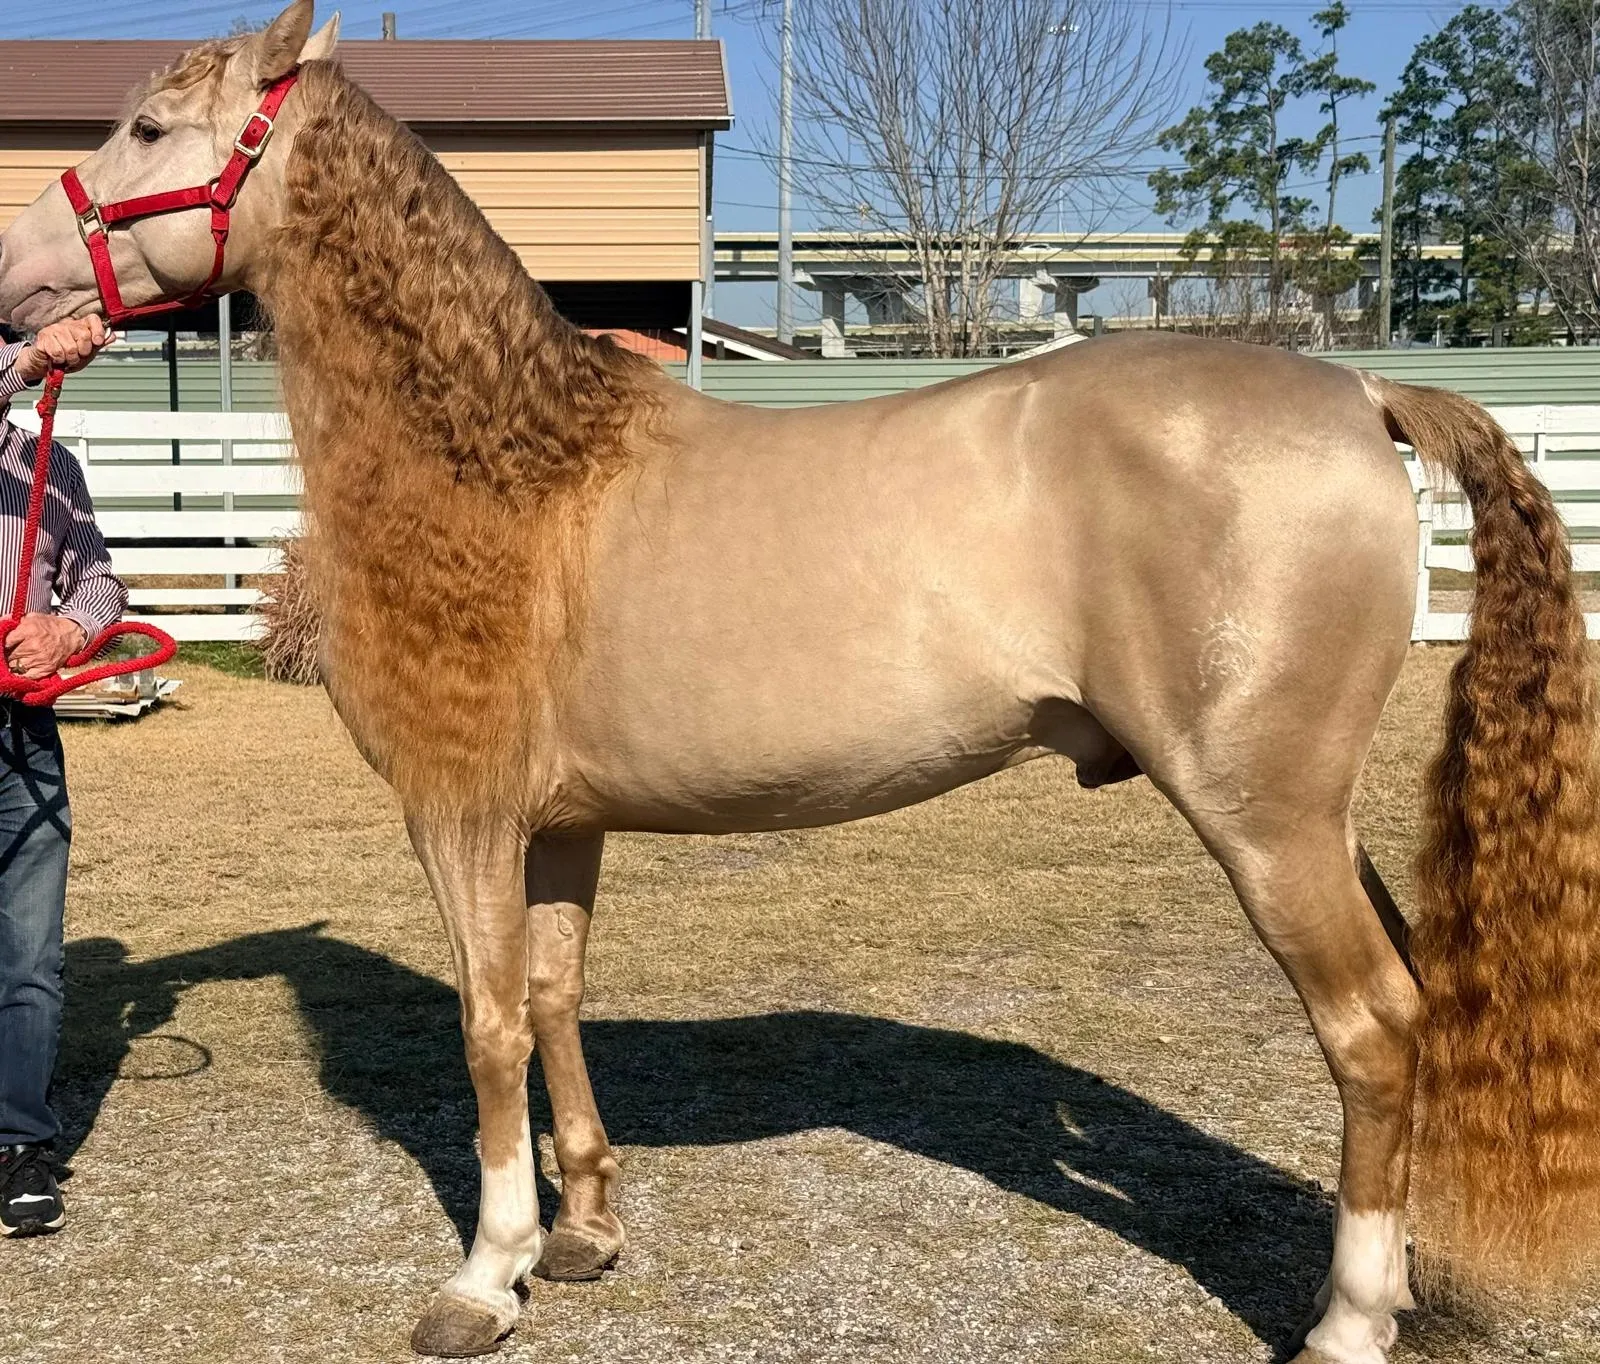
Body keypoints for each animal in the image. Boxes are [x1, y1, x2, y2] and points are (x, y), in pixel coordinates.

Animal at [3, 5, 1598, 1360]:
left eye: (148, 127)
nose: (16, 285)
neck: (507, 460)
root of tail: (1361, 391)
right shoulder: (561, 822)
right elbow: (557, 996)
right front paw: (583, 1233)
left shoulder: (459, 811)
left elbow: (487, 1022)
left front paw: (484, 1275)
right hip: (1311, 818)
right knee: (1411, 1006)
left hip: (1261, 819)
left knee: (1371, 1027)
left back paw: (1344, 1322)